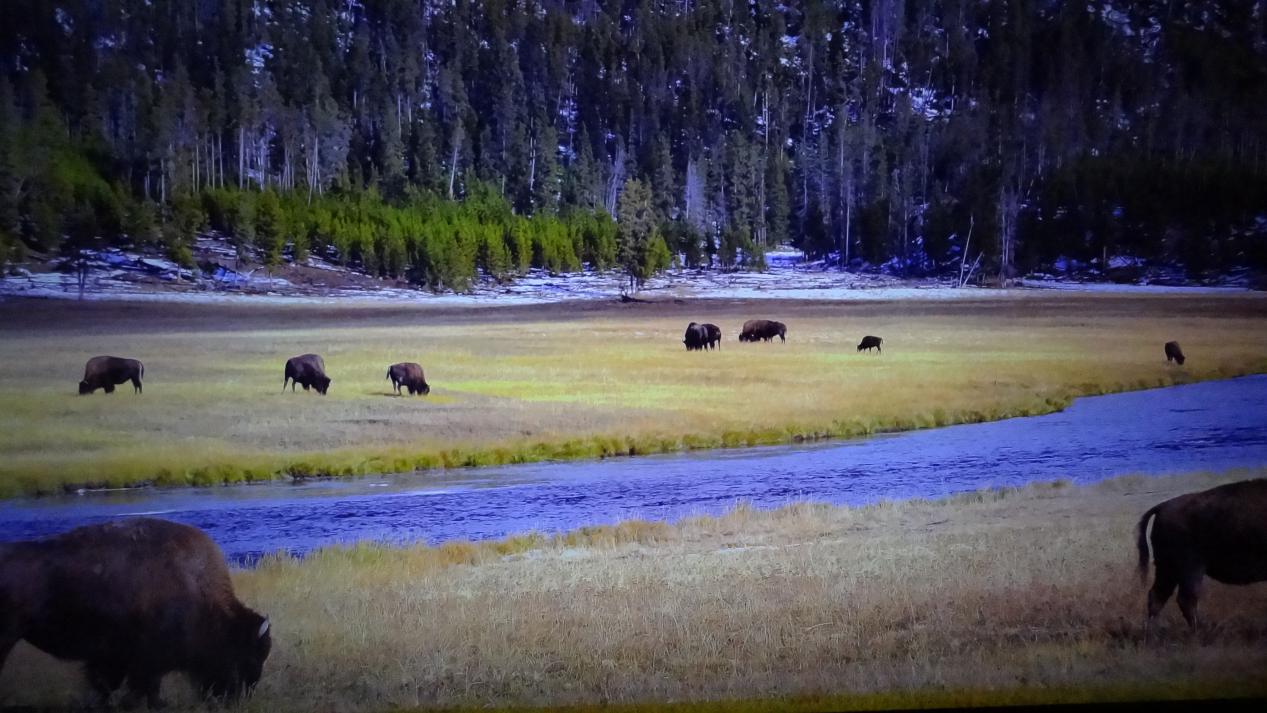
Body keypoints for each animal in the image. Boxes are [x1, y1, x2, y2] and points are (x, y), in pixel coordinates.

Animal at [0, 516, 272, 704]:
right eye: (247, 656)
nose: (236, 699)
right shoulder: (142, 662)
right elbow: (135, 690)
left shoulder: (116, 660)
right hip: (7, 637)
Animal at [1140, 478, 1267, 630]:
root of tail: (1162, 506)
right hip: (1189, 568)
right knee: (1186, 599)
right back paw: (1200, 630)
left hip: (1168, 569)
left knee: (1158, 596)